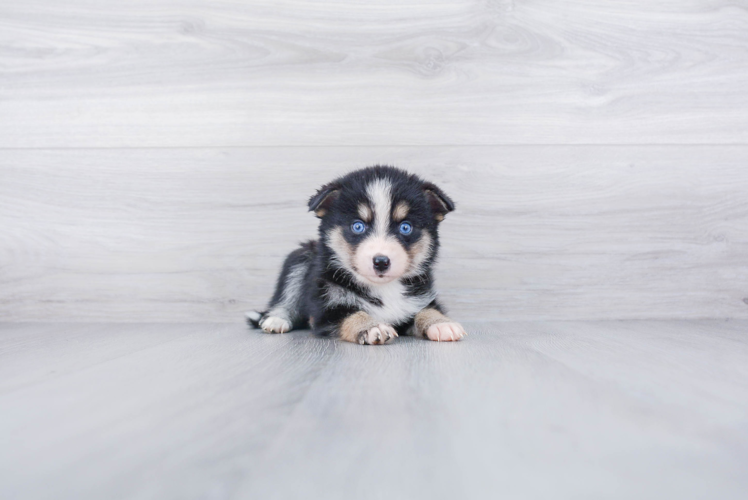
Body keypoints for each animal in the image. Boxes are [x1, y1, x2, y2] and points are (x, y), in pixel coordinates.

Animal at [248, 166, 464, 346]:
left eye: (405, 227)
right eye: (358, 226)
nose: (381, 262)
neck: (384, 289)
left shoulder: (419, 298)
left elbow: (426, 309)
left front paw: (441, 323)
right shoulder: (325, 307)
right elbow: (351, 314)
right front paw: (372, 327)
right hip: (300, 259)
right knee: (286, 296)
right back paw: (276, 320)